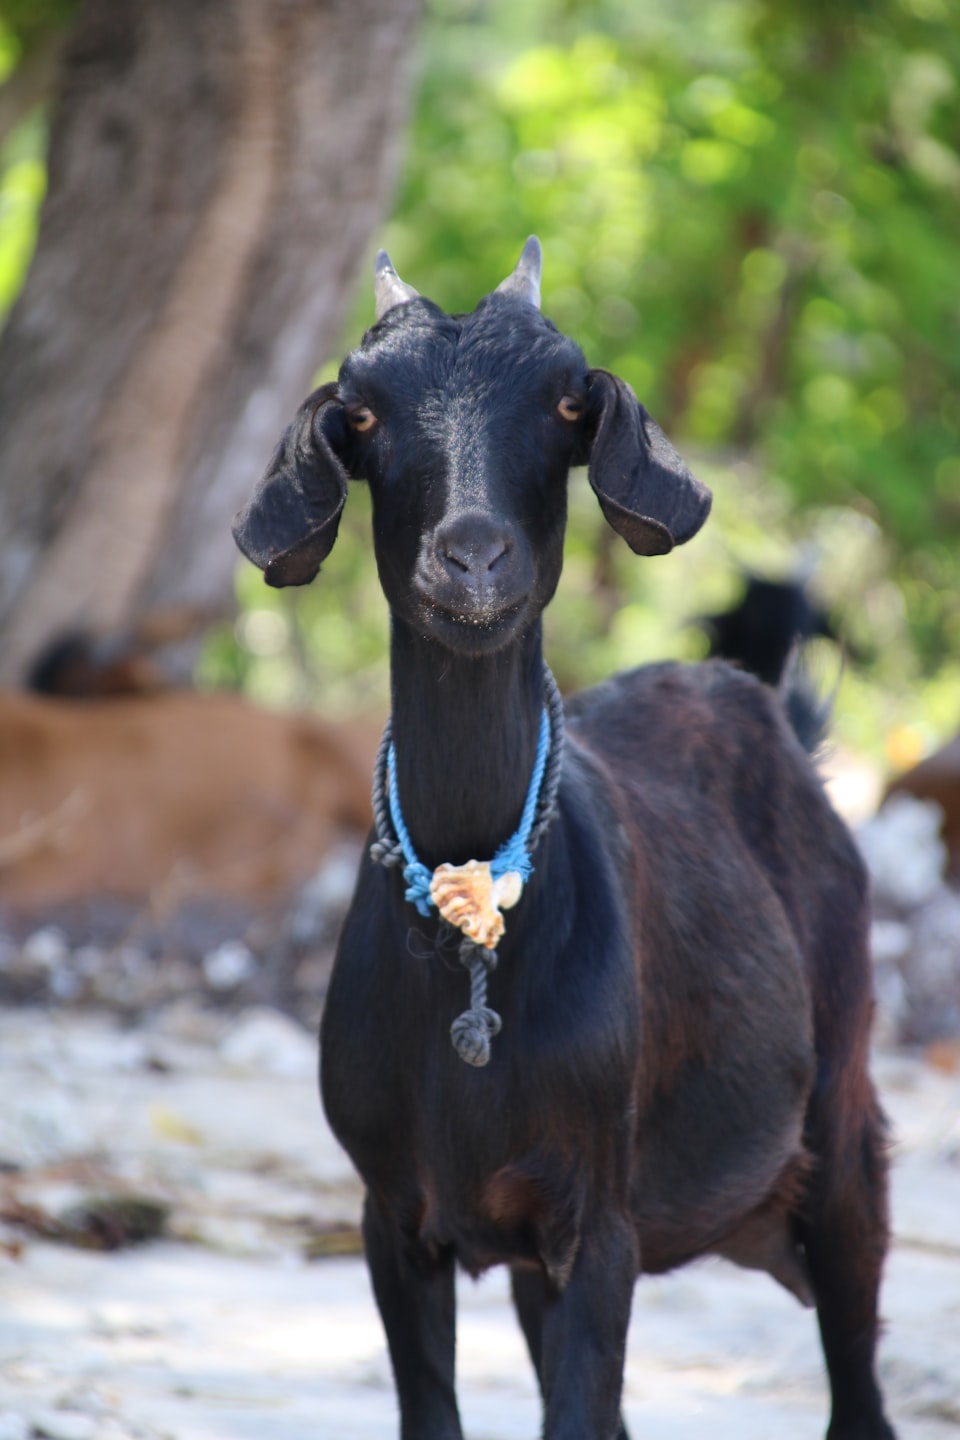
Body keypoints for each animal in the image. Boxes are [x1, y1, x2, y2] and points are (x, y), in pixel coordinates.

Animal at [233, 241, 892, 1434]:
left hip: (844, 1130)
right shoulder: (397, 1216)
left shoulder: (600, 1224)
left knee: (858, 1383)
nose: (472, 560)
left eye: (565, 402)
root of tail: (771, 713)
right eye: (364, 413)